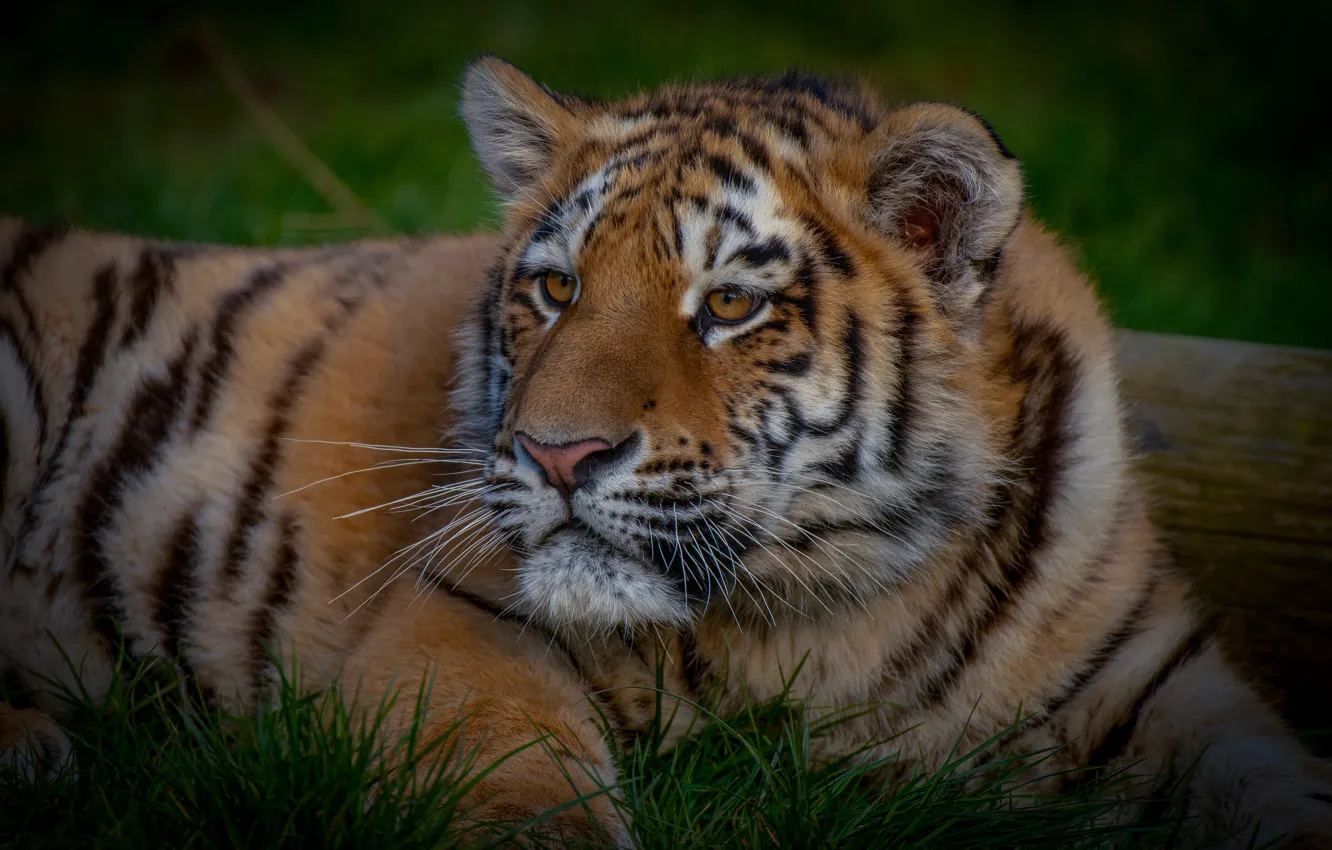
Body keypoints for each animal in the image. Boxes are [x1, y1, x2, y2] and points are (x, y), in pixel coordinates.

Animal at [3, 54, 1331, 847]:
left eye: (729, 305)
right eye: (555, 287)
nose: (554, 456)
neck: (845, 608)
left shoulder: (1158, 680)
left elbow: (1287, 790)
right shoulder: (462, 622)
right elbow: (526, 789)